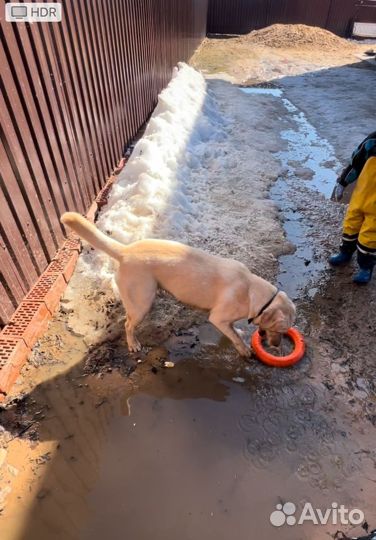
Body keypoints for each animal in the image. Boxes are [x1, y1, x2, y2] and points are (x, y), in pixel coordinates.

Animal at [61, 213, 296, 356]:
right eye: (281, 328)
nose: (275, 346)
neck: (252, 291)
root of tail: (125, 251)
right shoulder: (218, 318)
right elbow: (235, 336)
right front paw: (244, 349)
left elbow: (234, 330)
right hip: (141, 302)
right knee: (128, 324)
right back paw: (133, 344)